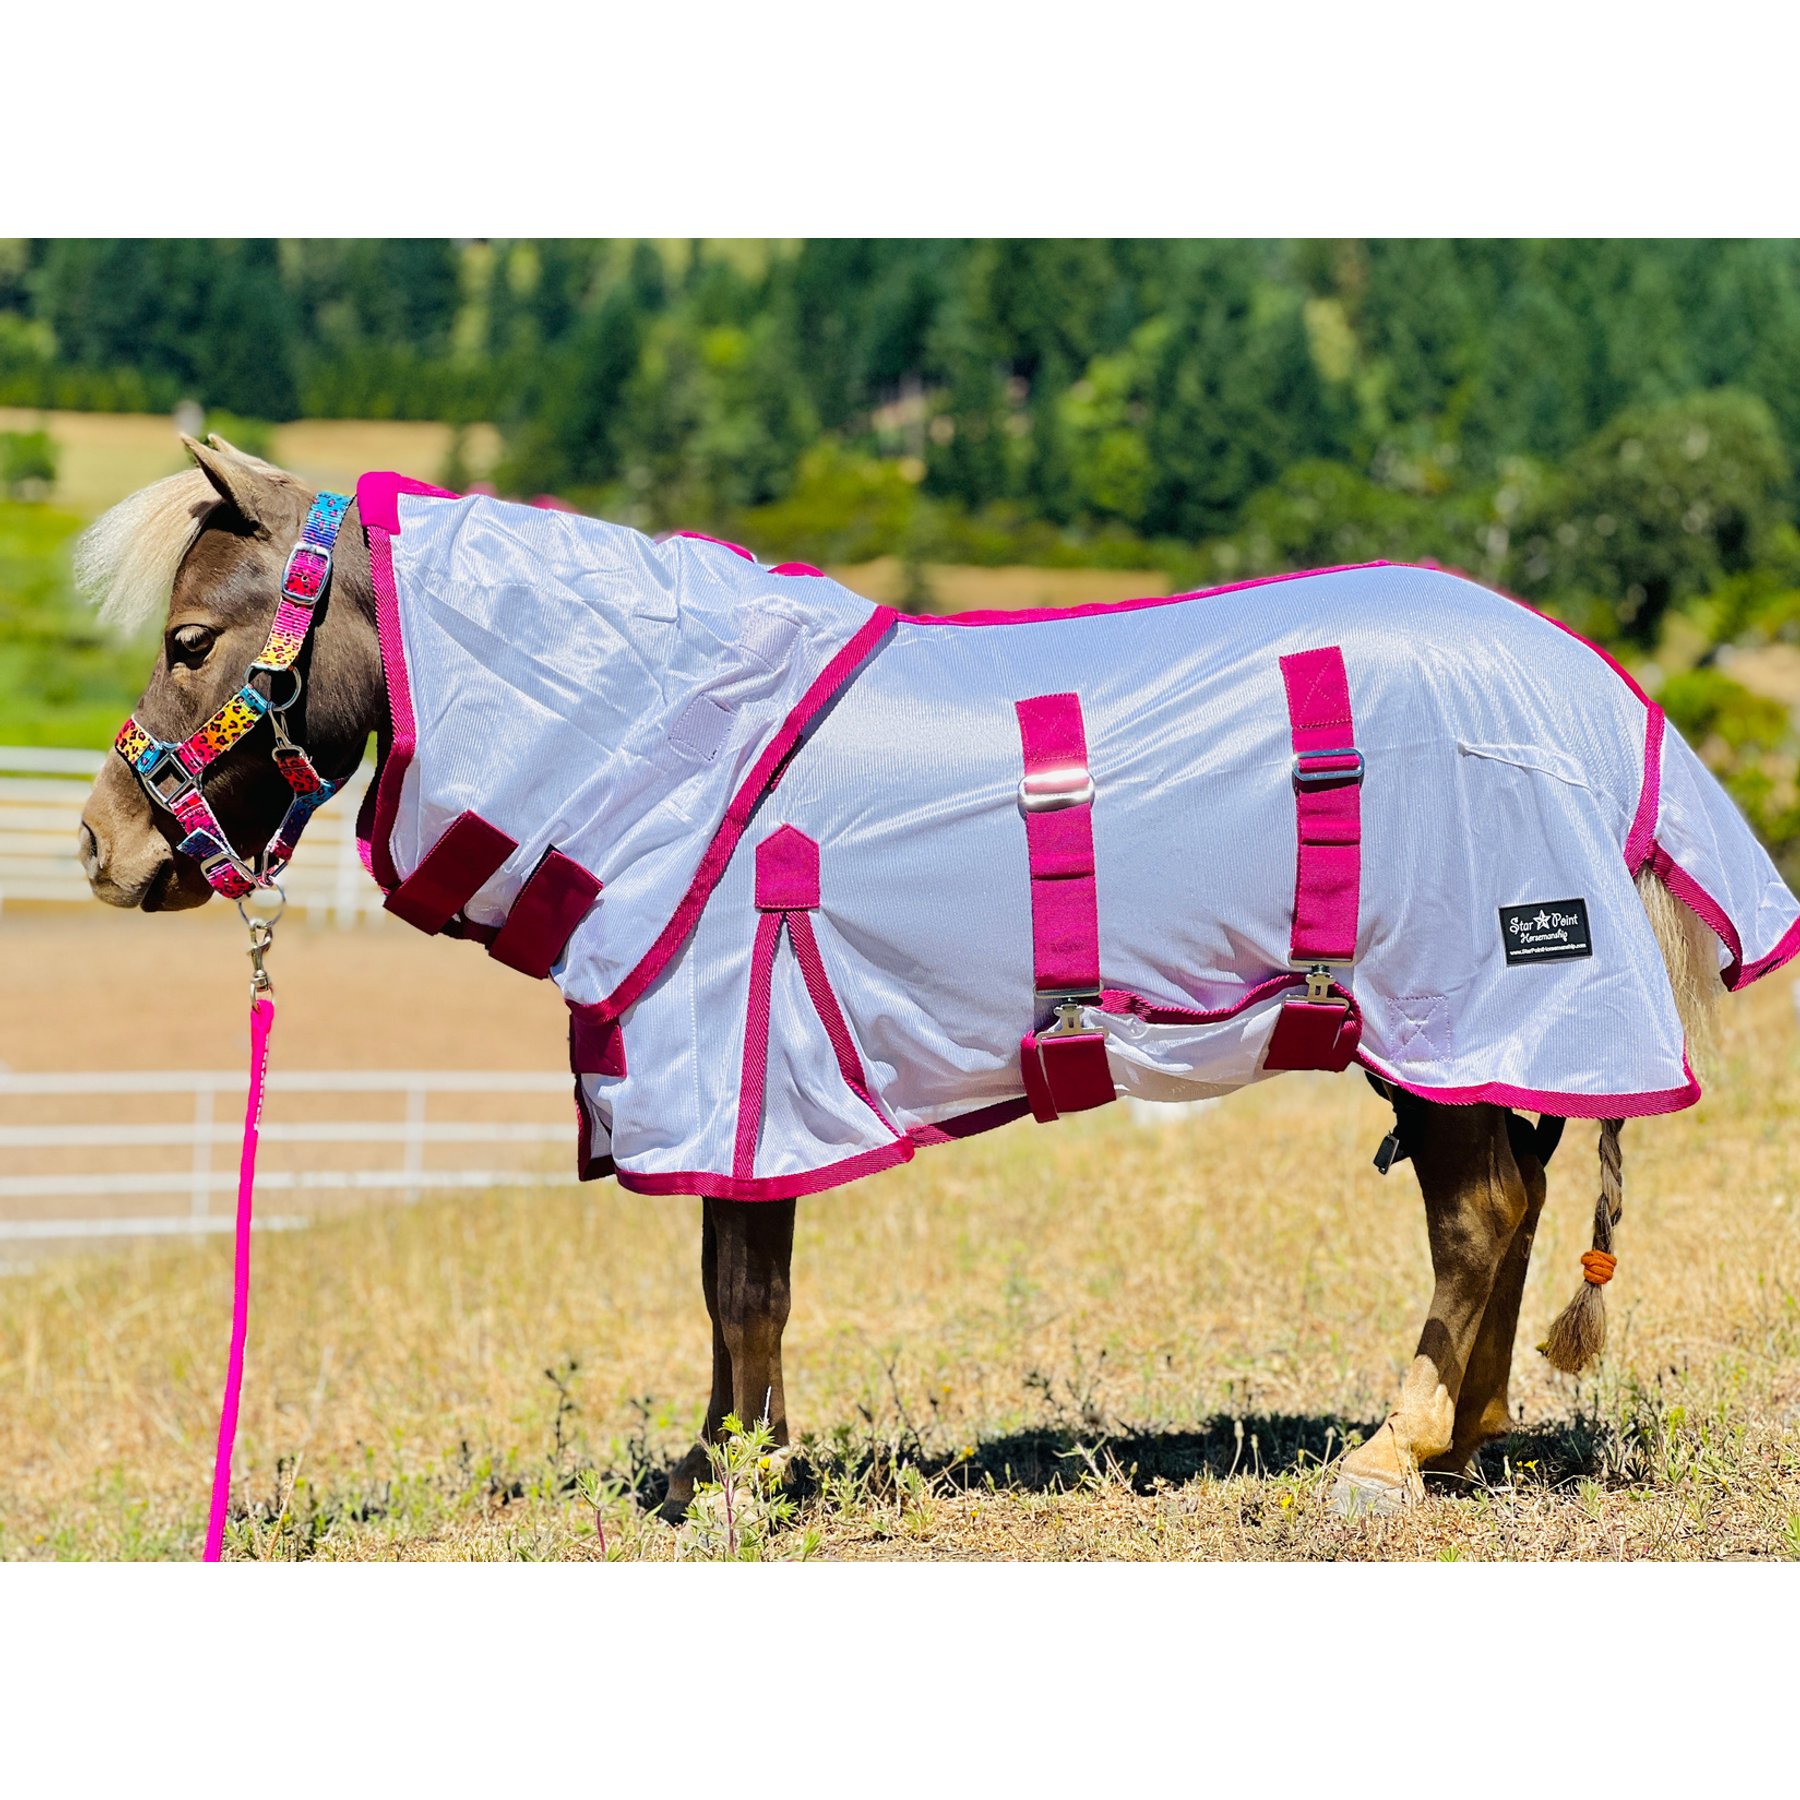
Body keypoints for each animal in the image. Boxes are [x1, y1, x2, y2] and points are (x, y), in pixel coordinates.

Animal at [77, 436, 1790, 1522]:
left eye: (191, 637)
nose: (101, 846)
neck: (673, 742)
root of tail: (1594, 690)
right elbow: (736, 1290)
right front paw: (728, 1464)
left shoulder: (740, 1062)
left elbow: (745, 1284)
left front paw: (740, 1480)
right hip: (1472, 1032)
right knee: (1509, 1199)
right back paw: (1469, 1437)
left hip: (1461, 993)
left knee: (1481, 1213)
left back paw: (1396, 1447)